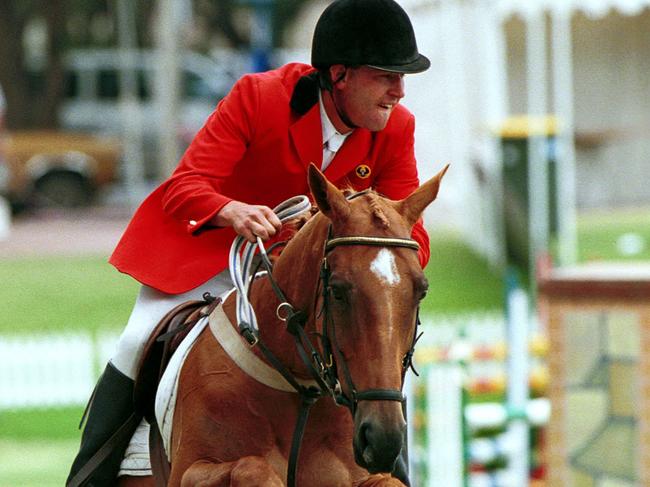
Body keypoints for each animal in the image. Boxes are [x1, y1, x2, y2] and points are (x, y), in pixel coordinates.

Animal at [121, 165, 446, 487]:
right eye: (337, 290)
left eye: (422, 291)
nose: (382, 440)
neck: (300, 389)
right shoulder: (188, 472)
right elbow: (253, 468)